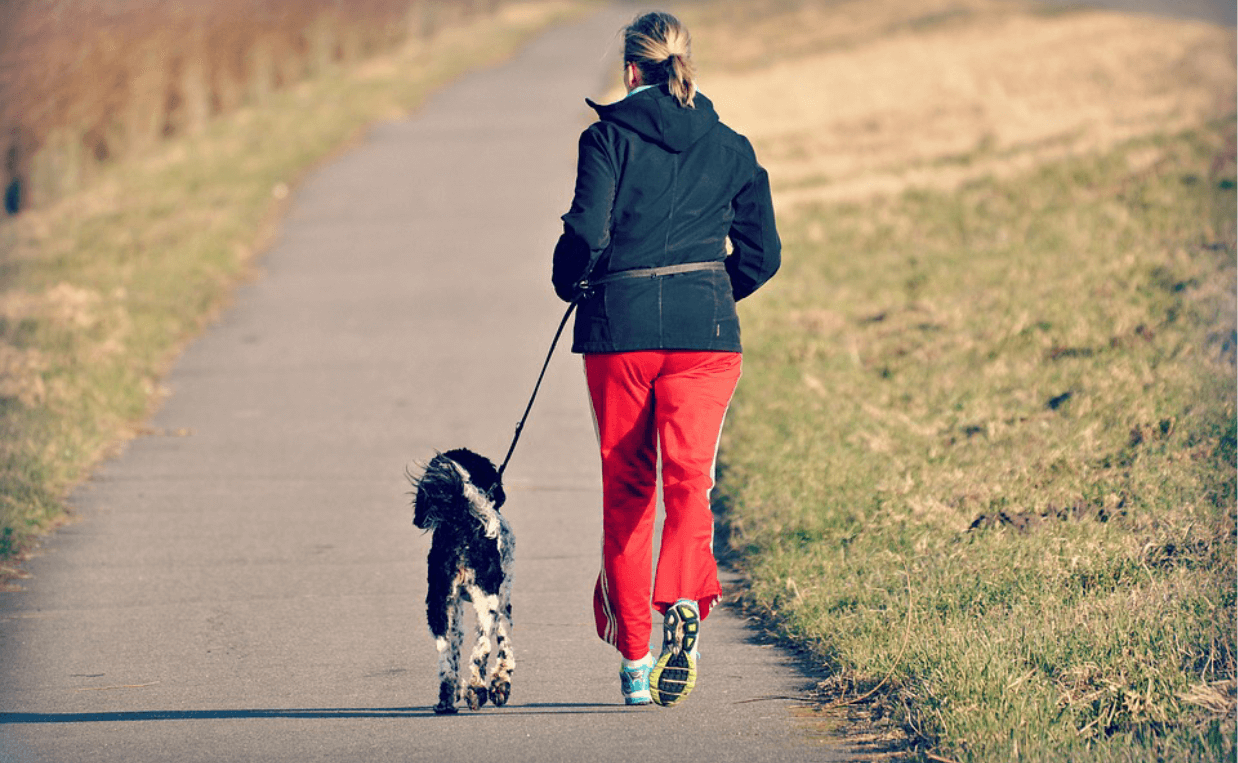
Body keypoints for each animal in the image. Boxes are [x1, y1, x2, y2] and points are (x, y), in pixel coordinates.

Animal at [411, 445, 512, 713]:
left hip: (438, 603)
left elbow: (455, 647)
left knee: (445, 655)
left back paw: (447, 698)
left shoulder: (454, 605)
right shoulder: (503, 597)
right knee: (483, 648)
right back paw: (477, 690)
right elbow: (504, 643)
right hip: (487, 599)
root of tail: (462, 525)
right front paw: (501, 683)